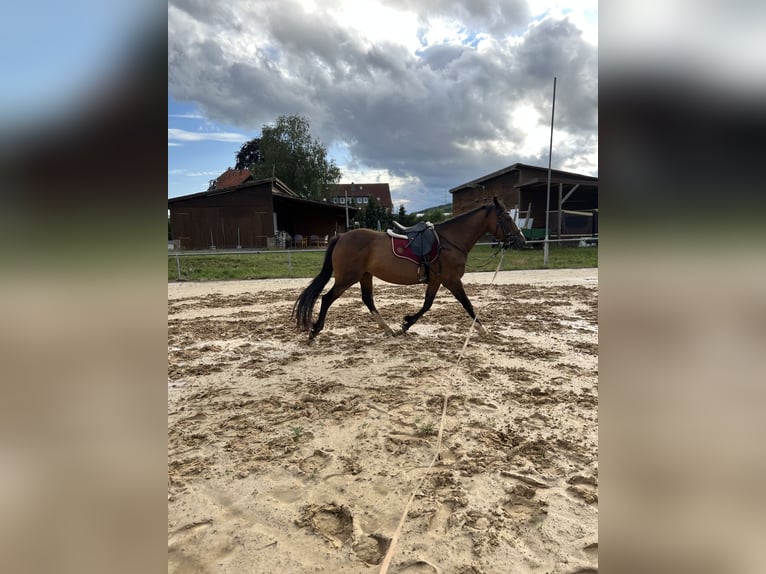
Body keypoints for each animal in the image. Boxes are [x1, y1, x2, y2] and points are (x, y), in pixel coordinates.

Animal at [292, 197, 526, 340]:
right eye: (506, 217)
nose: (522, 241)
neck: (449, 241)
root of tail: (341, 236)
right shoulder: (451, 280)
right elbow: (466, 304)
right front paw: (482, 328)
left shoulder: (436, 280)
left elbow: (427, 304)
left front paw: (406, 324)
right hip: (347, 278)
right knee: (327, 299)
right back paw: (315, 330)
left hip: (365, 276)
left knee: (367, 300)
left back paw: (387, 329)